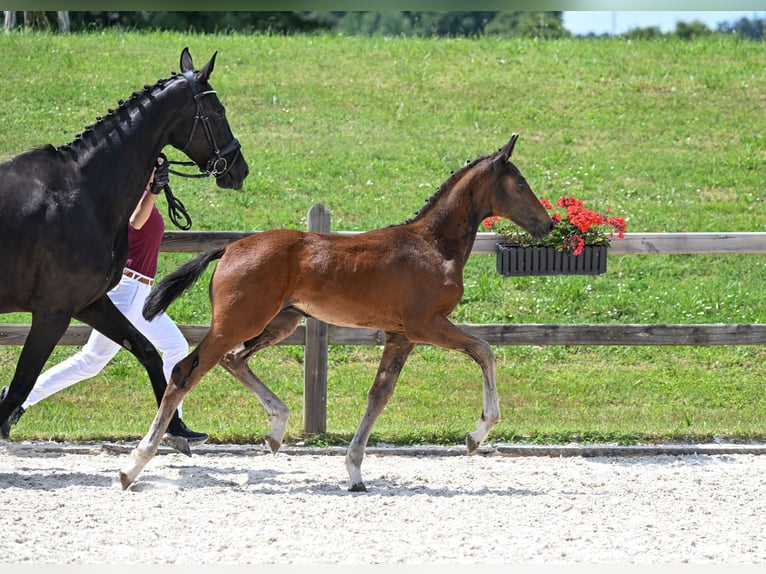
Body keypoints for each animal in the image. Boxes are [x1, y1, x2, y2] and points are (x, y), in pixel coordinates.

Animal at [0, 48, 249, 451]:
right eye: (218, 112)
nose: (239, 169)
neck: (85, 193)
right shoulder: (52, 313)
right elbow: (20, 386)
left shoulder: (90, 303)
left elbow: (147, 351)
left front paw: (176, 430)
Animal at [119, 134, 552, 491]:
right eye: (520, 183)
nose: (546, 224)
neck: (433, 244)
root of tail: (229, 248)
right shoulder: (425, 324)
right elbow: (484, 350)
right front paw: (477, 435)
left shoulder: (400, 336)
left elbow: (380, 393)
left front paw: (355, 472)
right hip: (239, 322)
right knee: (185, 372)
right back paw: (133, 465)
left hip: (281, 321)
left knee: (234, 359)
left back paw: (276, 427)